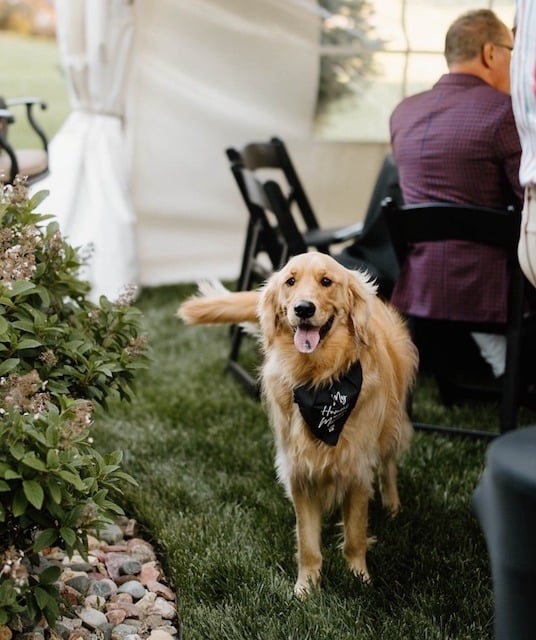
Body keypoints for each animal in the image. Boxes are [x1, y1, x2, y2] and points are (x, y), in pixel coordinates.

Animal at [178, 250, 416, 596]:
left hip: (391, 427)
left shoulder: (357, 468)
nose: (303, 308)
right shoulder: (300, 472)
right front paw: (306, 588)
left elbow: (355, 536)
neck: (319, 379)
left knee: (388, 465)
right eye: (290, 281)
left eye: (326, 281)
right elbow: (308, 544)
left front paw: (360, 578)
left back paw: (393, 505)